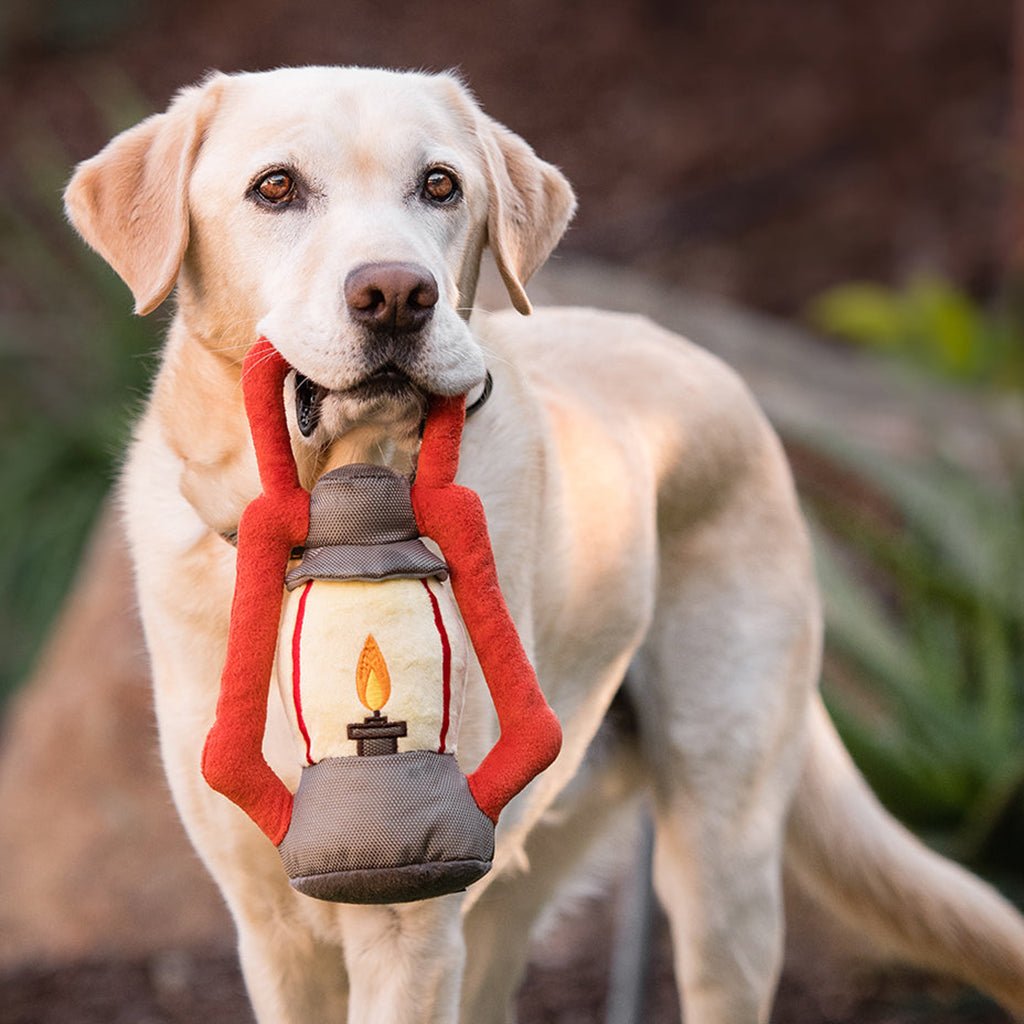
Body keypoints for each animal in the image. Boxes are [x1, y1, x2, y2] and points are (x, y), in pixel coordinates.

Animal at [64, 68, 1024, 1019]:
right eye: (275, 188)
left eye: (440, 185)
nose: (398, 294)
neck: (341, 517)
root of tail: (707, 362)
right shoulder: (276, 930)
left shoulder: (405, 919)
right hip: (511, 898)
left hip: (723, 868)